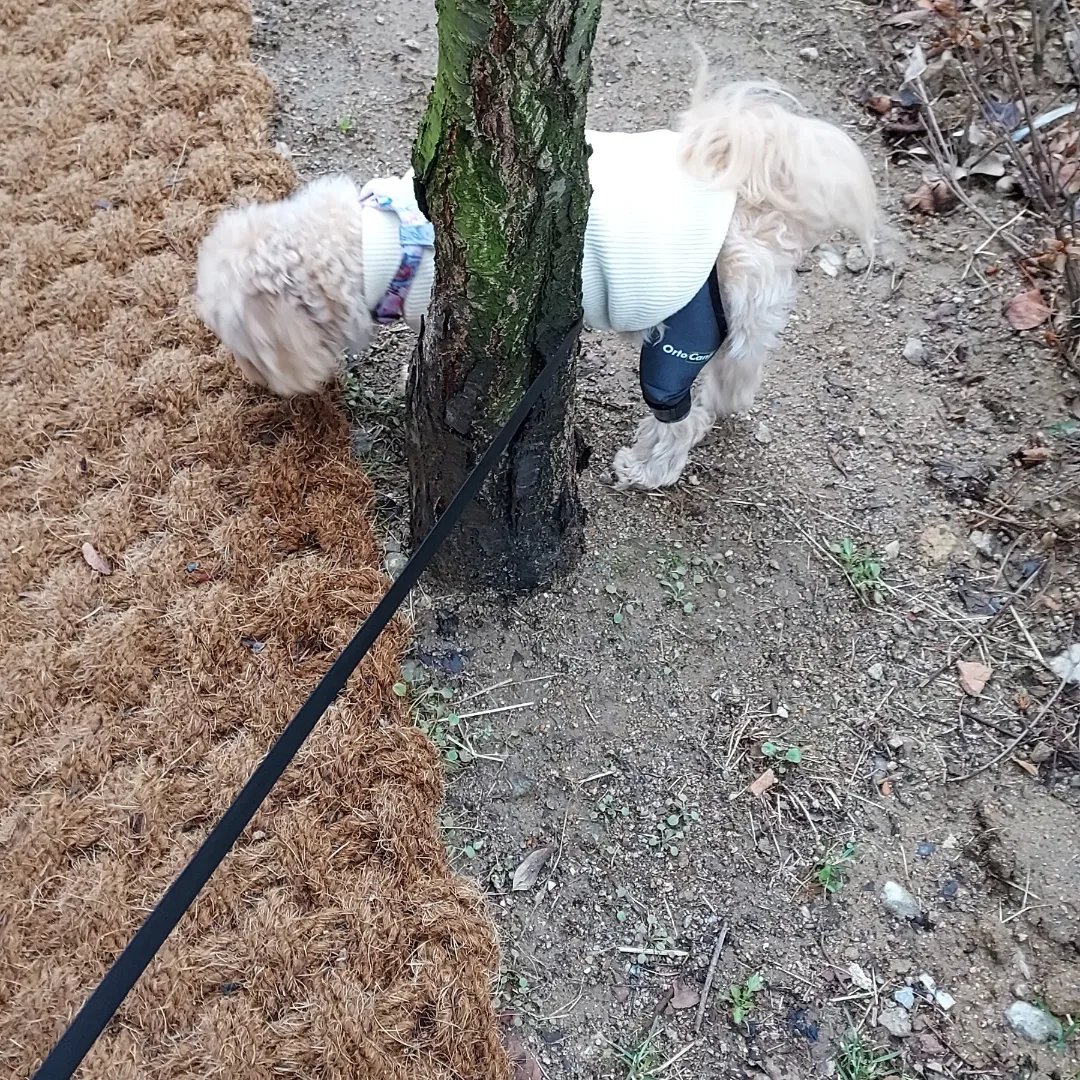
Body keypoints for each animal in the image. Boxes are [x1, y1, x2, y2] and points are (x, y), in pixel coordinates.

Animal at [194, 79, 876, 490]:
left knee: (683, 418)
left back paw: (647, 468)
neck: (391, 244)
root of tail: (754, 208)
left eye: (243, 343)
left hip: (678, 337)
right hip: (735, 323)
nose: (252, 380)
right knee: (735, 378)